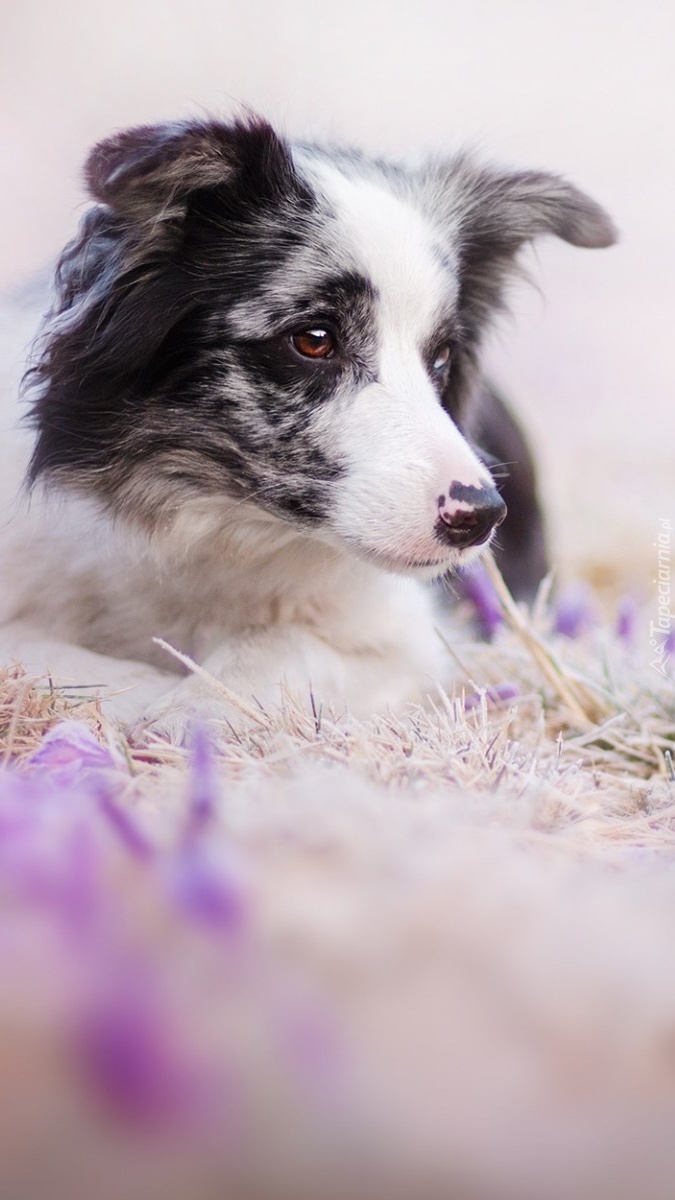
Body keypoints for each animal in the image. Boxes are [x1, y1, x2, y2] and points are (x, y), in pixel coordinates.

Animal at [0, 119, 614, 739]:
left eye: (440, 357)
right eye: (314, 340)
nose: (481, 516)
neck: (204, 530)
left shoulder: (413, 643)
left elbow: (283, 644)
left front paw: (195, 707)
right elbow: (33, 649)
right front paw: (145, 695)